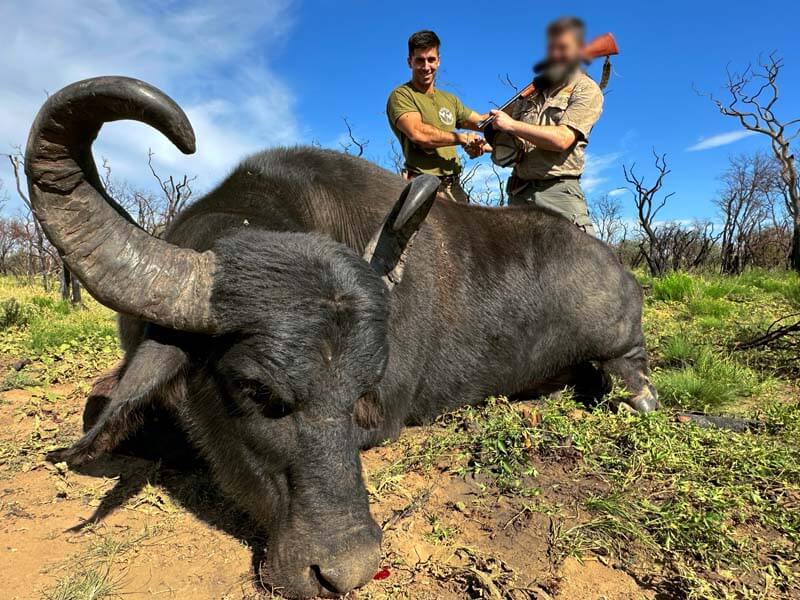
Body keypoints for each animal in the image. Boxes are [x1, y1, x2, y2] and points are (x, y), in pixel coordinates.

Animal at [26, 77, 658, 598]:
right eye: (254, 389)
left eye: (357, 394)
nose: (345, 571)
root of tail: (617, 267)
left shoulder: (384, 416)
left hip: (621, 349)